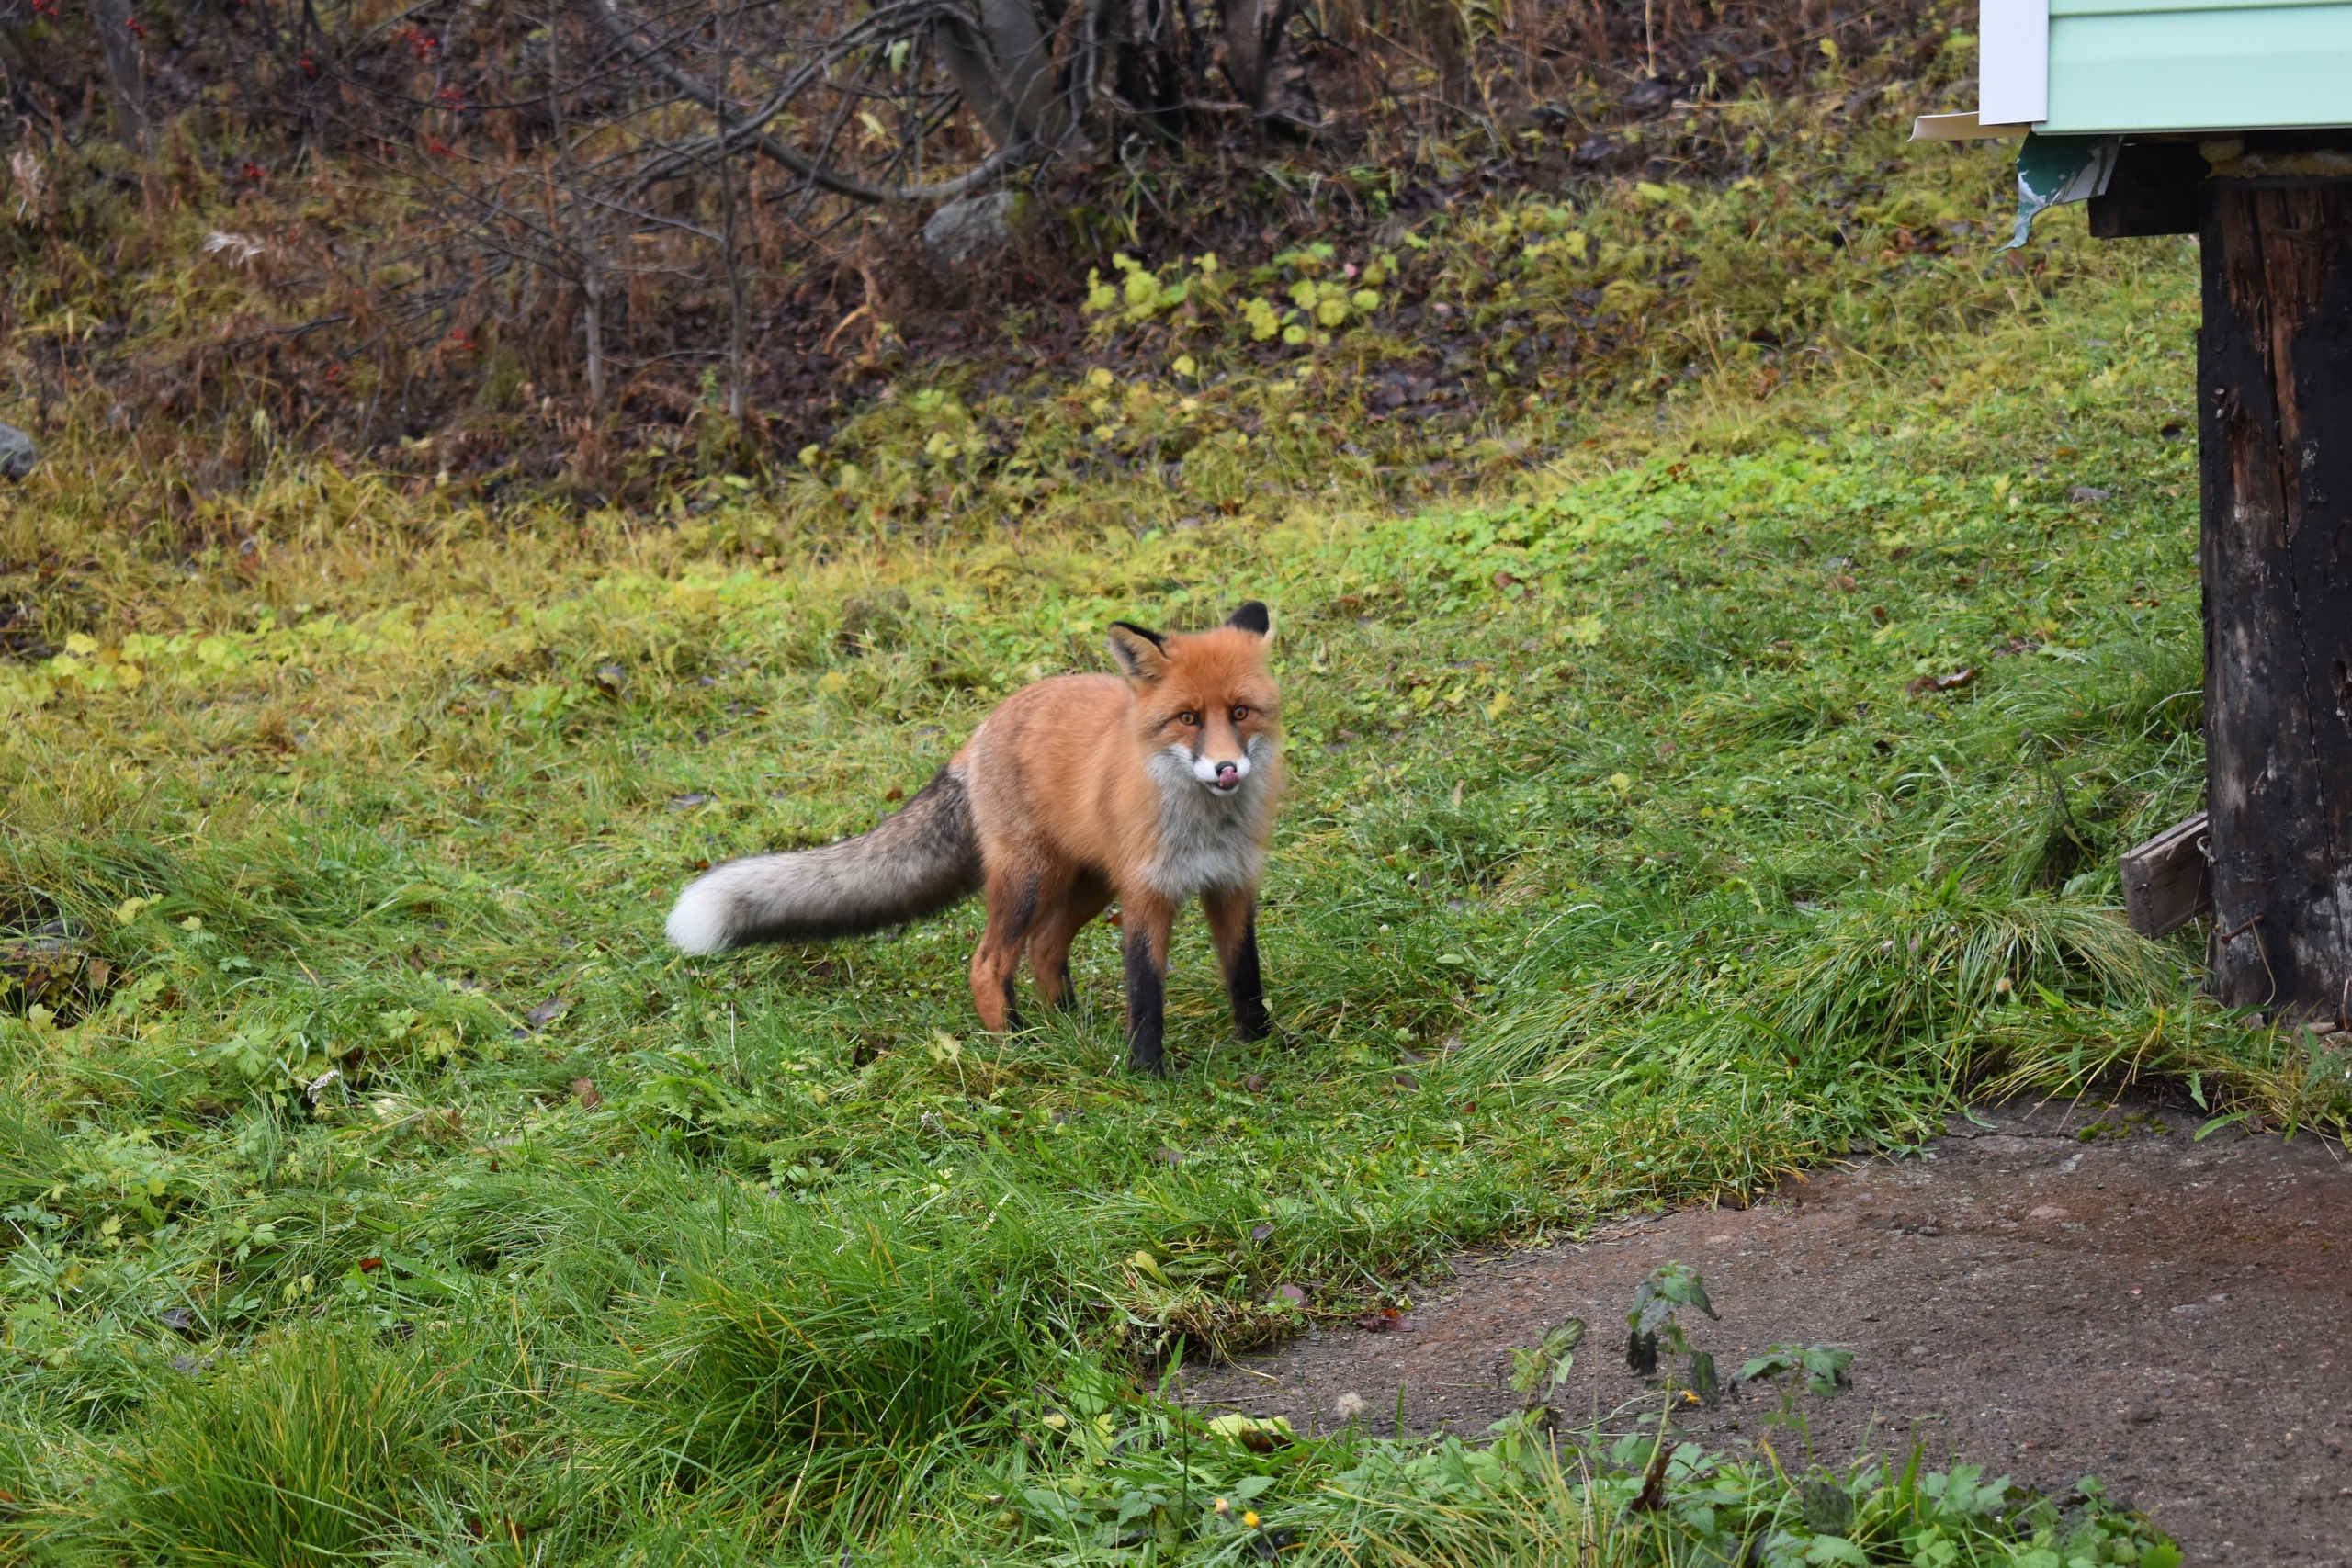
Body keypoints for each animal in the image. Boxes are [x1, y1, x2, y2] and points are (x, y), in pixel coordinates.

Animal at [665, 601, 1282, 1074]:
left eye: (1240, 712)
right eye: (1187, 718)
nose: (1227, 769)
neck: (1206, 826)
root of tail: (982, 729)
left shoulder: (1231, 885)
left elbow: (1244, 973)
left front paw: (1263, 1046)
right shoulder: (1146, 894)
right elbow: (1146, 992)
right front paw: (1147, 1072)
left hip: (1087, 881)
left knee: (1043, 947)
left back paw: (1071, 1027)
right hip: (1031, 879)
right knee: (988, 963)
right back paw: (1017, 1045)